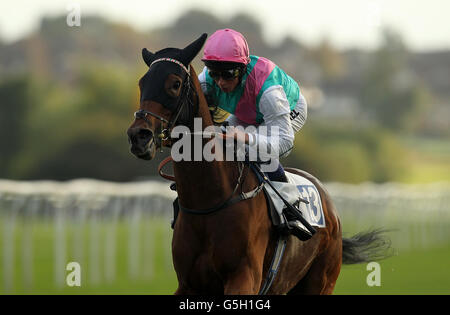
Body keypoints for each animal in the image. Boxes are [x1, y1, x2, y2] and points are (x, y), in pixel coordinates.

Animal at [126, 33, 390, 296]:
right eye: (142, 83)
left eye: (175, 84)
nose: (139, 136)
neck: (208, 202)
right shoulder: (188, 284)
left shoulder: (244, 278)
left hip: (320, 282)